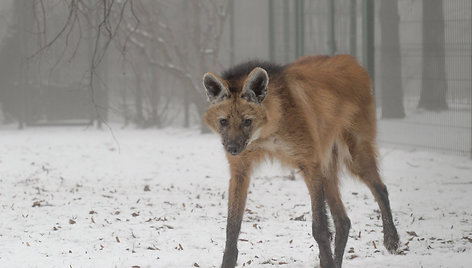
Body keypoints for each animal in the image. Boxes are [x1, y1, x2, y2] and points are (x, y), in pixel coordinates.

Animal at [203, 55, 398, 268]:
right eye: (224, 121)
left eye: (247, 121)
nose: (232, 149)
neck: (267, 133)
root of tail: (352, 61)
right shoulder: (241, 170)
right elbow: (232, 227)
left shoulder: (309, 163)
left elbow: (320, 229)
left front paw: (326, 261)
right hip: (327, 166)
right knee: (343, 221)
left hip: (354, 154)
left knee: (380, 189)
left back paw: (391, 239)